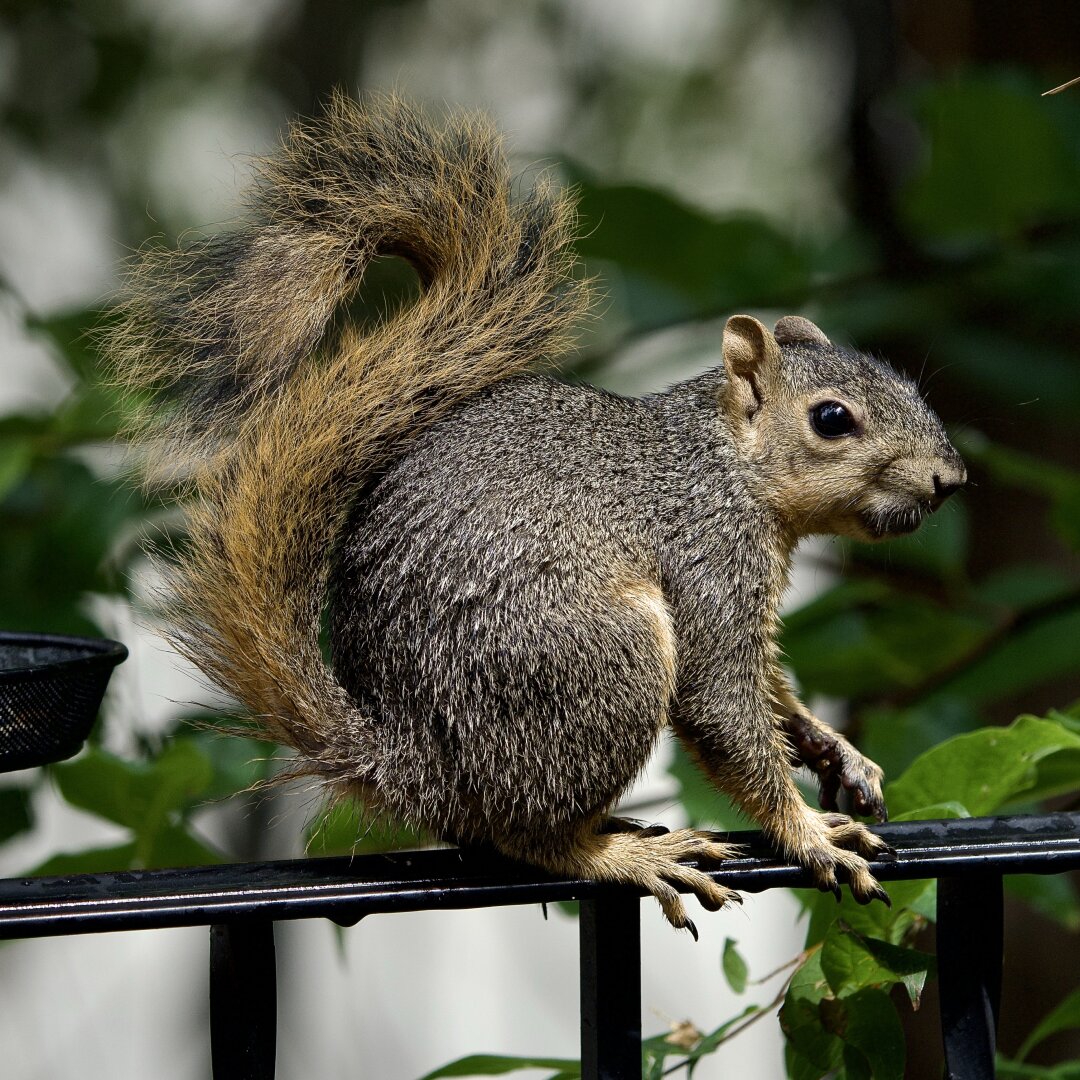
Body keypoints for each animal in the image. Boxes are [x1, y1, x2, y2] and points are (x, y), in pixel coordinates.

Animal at [104, 94, 966, 935]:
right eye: (832, 419)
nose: (949, 478)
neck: (726, 463)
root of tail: (408, 767)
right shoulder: (709, 554)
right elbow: (722, 704)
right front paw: (809, 835)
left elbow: (773, 692)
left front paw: (835, 752)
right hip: (593, 663)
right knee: (527, 834)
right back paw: (621, 854)